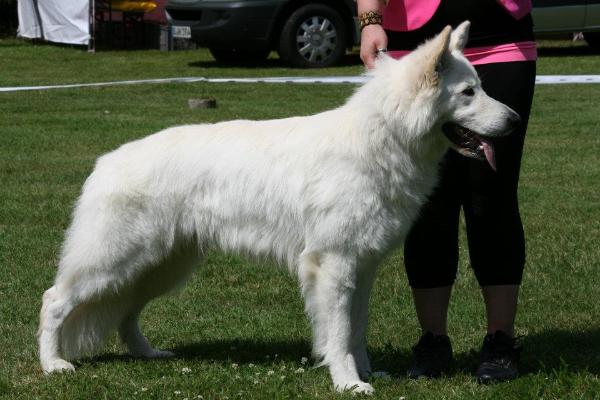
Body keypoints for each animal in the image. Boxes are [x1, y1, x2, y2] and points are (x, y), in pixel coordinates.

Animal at [39, 22, 520, 394]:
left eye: (480, 88)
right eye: (468, 92)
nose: (516, 121)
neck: (383, 137)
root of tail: (105, 162)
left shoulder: (361, 268)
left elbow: (357, 329)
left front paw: (366, 373)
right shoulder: (334, 265)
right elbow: (340, 333)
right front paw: (348, 382)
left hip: (159, 266)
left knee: (126, 313)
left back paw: (147, 353)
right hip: (115, 261)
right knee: (54, 300)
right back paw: (53, 364)